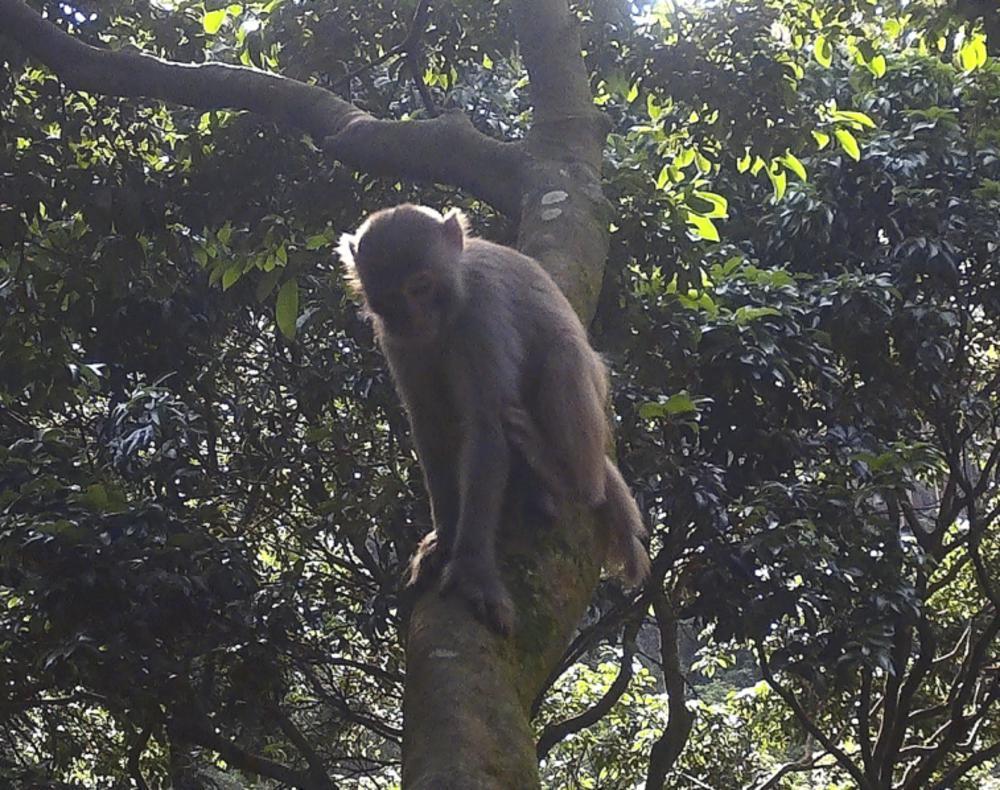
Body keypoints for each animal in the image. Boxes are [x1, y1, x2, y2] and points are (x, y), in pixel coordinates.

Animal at [340, 206, 652, 636]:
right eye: (389, 298)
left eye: (420, 286)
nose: (411, 319)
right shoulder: (398, 342)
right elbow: (429, 427)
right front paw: (445, 537)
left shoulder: (481, 313)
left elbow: (486, 425)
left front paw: (472, 570)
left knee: (563, 356)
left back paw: (562, 476)